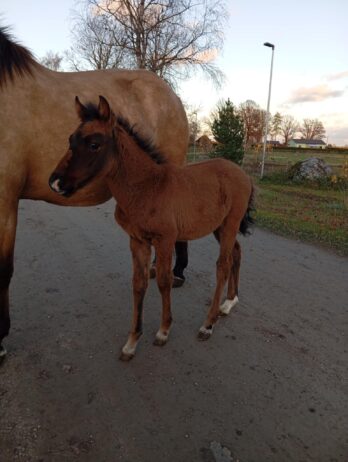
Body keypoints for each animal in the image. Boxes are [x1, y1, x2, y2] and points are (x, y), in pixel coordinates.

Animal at [50, 95, 254, 360]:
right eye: (70, 140)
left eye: (94, 144)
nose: (55, 182)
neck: (146, 187)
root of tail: (244, 174)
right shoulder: (137, 240)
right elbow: (139, 284)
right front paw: (132, 342)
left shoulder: (165, 240)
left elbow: (164, 282)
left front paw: (163, 331)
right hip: (219, 227)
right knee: (237, 253)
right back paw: (229, 303)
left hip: (230, 224)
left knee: (223, 265)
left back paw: (208, 324)